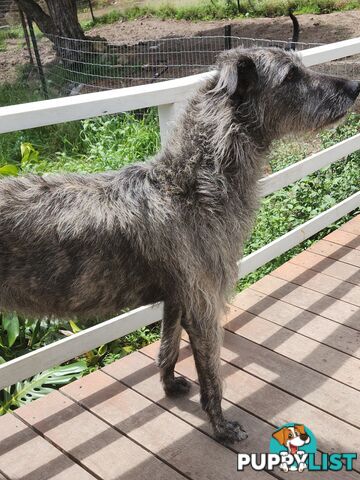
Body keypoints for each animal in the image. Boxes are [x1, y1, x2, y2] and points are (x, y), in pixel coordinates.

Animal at [0, 47, 360, 440]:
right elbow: (213, 373)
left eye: (300, 66)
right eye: (291, 76)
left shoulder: (178, 293)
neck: (192, 183)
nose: (355, 86)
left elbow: (167, 346)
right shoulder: (204, 303)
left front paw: (170, 385)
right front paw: (221, 426)